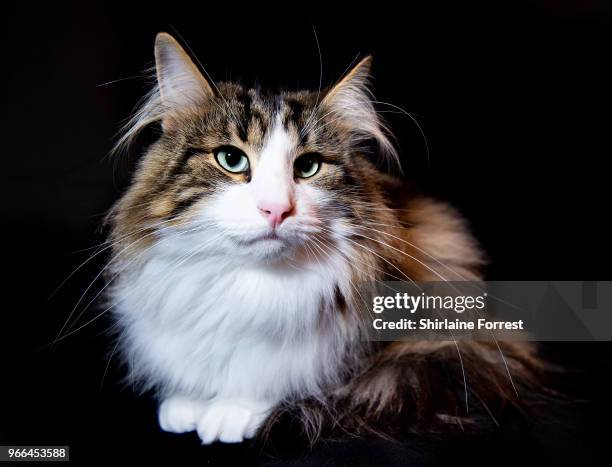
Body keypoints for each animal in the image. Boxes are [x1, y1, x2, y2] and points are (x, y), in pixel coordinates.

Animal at [107, 33, 544, 446]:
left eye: (308, 167)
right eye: (231, 159)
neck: (249, 285)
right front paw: (187, 402)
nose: (276, 210)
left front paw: (231, 410)